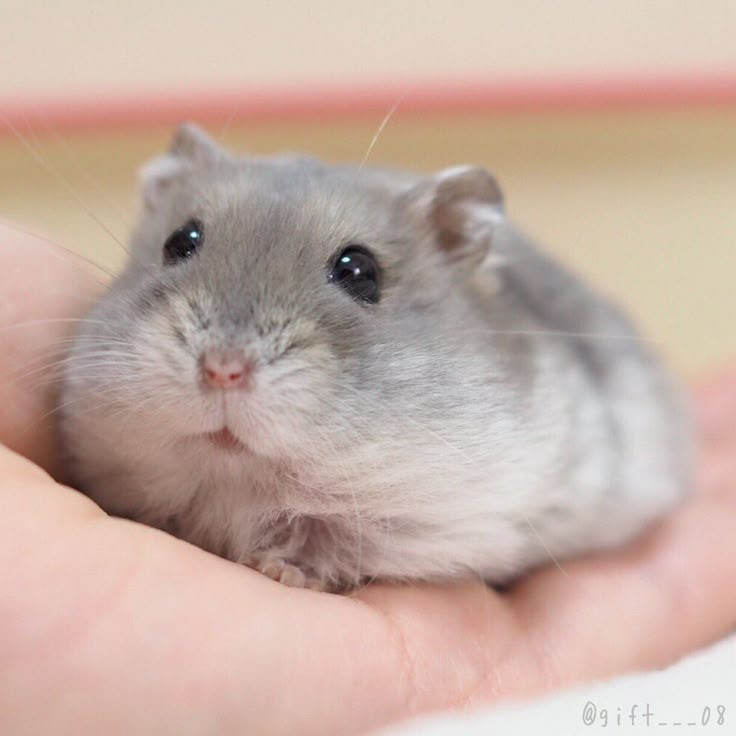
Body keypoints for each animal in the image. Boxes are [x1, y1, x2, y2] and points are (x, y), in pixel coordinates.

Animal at [58, 123, 691, 592]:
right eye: (180, 242)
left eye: (360, 271)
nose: (222, 370)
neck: (237, 480)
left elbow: (328, 538)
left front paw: (281, 569)